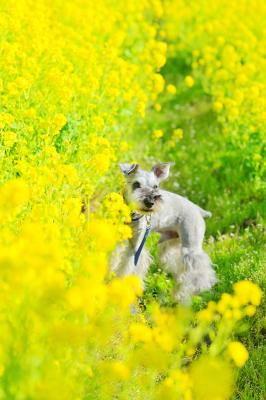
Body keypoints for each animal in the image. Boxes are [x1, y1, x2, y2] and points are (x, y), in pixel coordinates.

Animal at [109, 161, 217, 302]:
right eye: (136, 184)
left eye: (156, 186)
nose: (150, 202)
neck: (131, 215)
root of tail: (199, 210)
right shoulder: (119, 239)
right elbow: (114, 259)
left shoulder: (136, 247)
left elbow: (125, 267)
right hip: (169, 244)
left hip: (191, 247)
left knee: (201, 271)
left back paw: (197, 289)